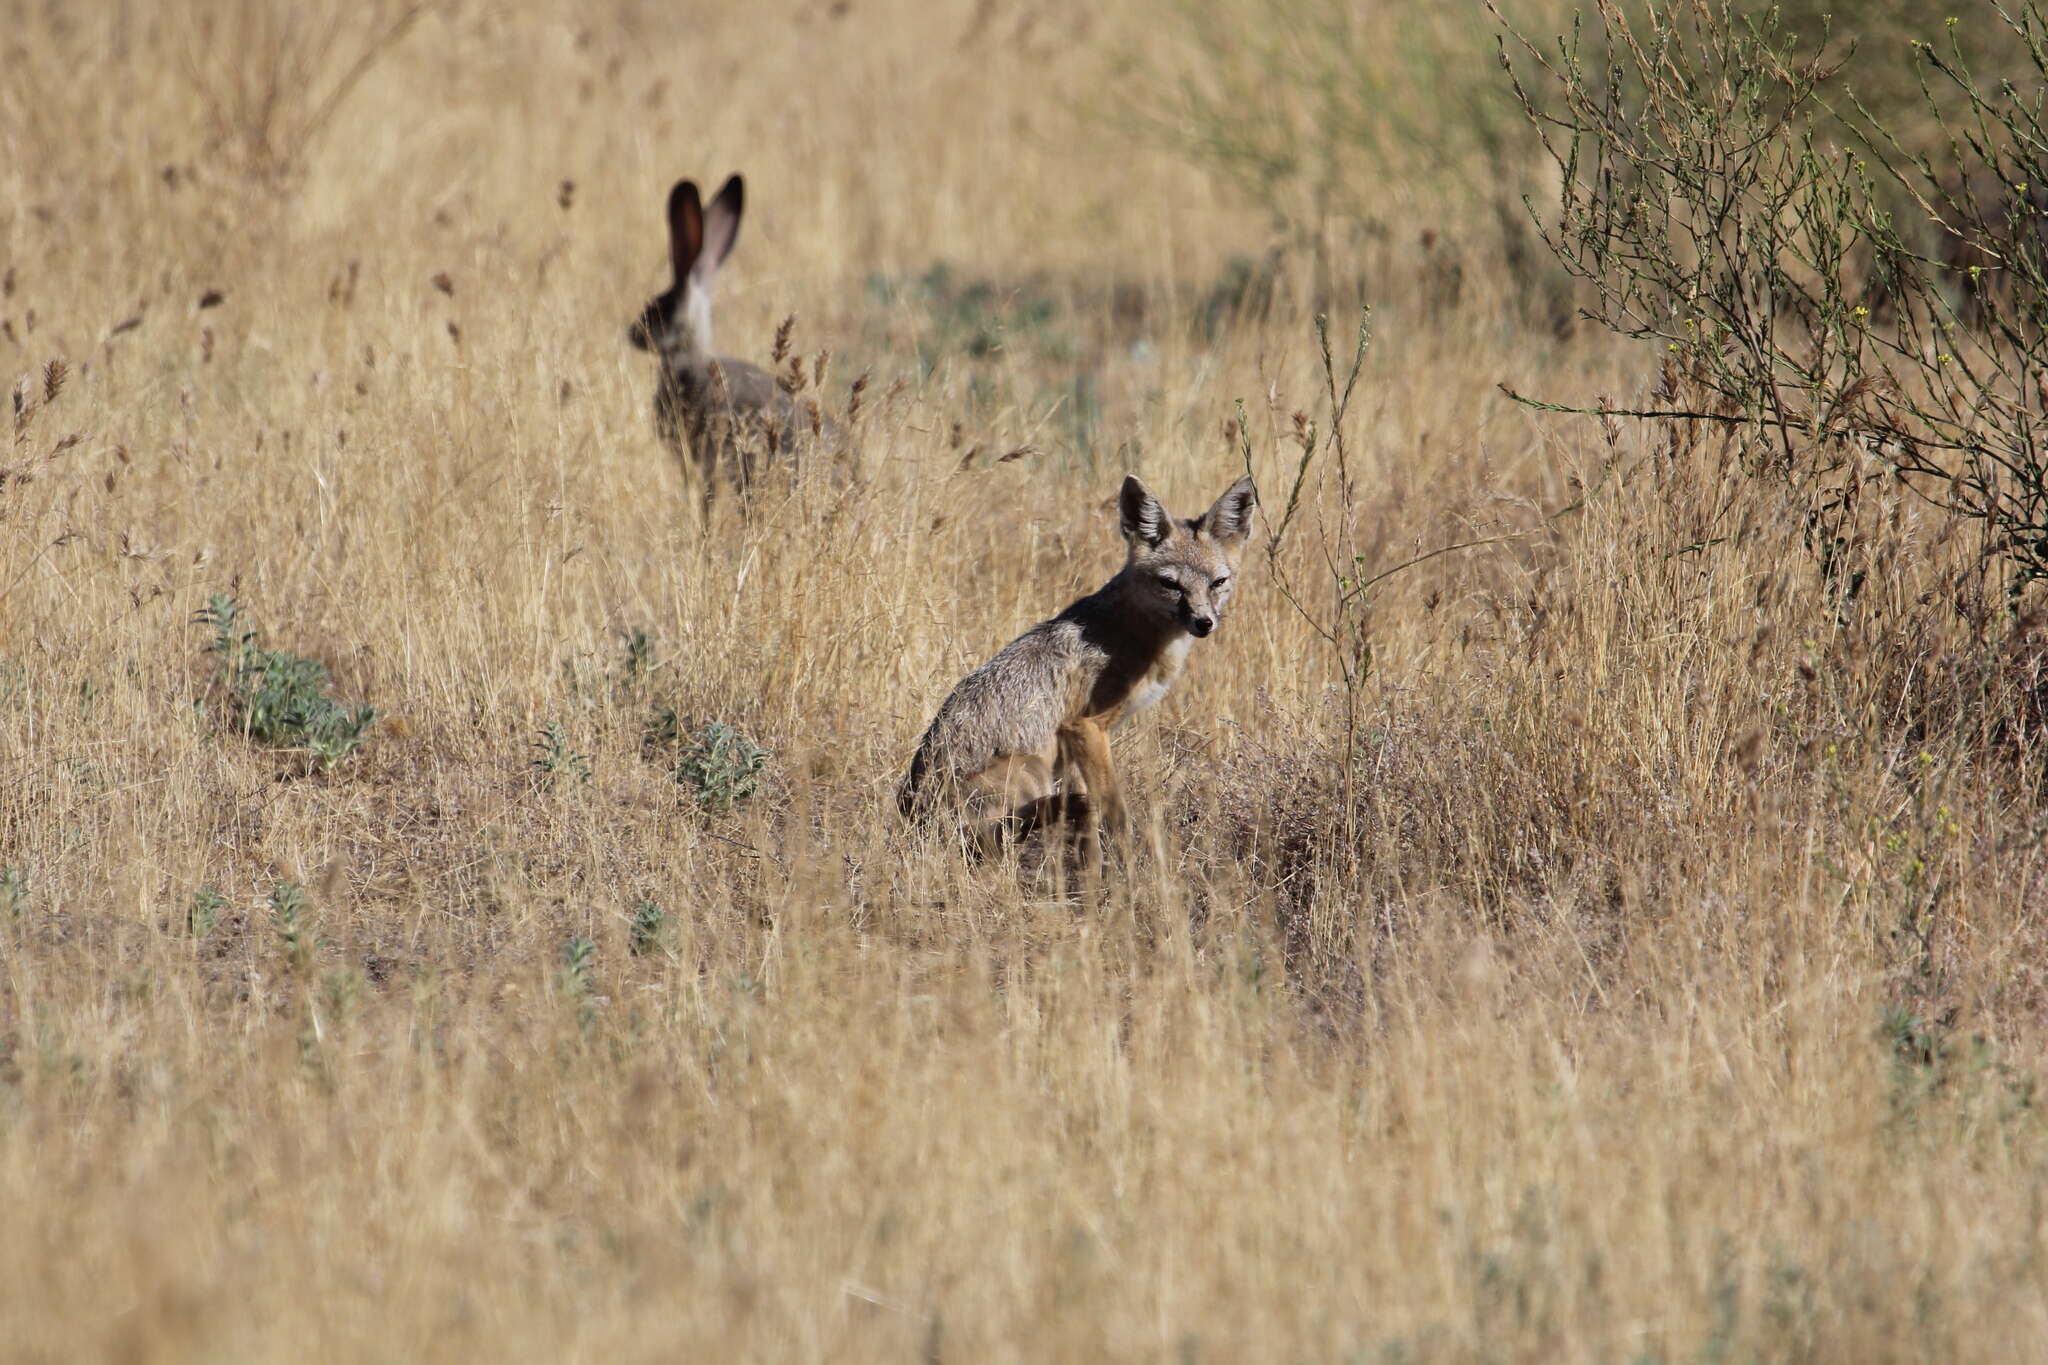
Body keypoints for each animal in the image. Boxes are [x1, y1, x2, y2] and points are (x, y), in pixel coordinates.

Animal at [901, 474, 1253, 859]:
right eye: (1170, 584)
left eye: (1218, 582)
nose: (1204, 623)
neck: (1132, 631)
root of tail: (913, 815)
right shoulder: (1084, 727)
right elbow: (1115, 811)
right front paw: (1129, 857)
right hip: (1031, 767)